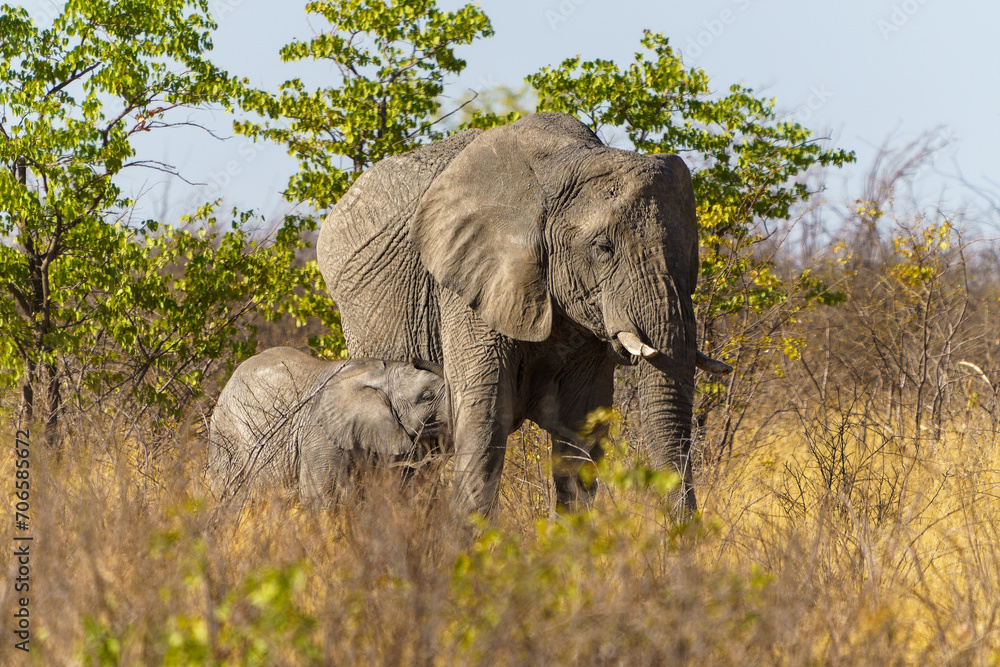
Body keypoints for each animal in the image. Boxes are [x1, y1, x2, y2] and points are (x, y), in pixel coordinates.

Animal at [207, 347, 449, 504]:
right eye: (427, 396)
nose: (415, 358)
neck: (380, 373)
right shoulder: (319, 433)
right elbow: (319, 498)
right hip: (226, 437)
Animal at [318, 112, 730, 514]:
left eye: (691, 253)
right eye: (603, 248)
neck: (569, 162)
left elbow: (580, 434)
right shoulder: (468, 285)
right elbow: (484, 420)